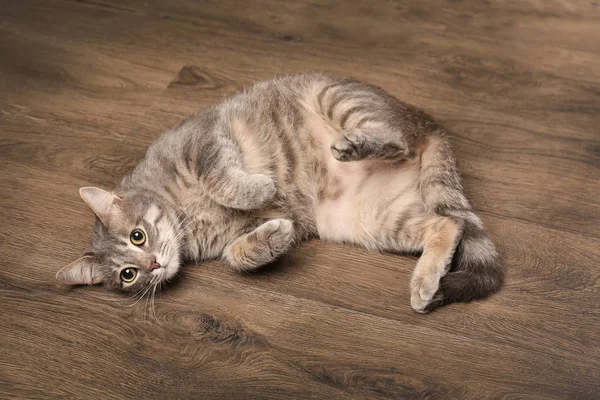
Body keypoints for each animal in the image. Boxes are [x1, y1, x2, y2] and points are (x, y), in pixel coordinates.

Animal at [58, 74, 504, 312]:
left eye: (138, 235)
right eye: (127, 276)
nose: (152, 265)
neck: (183, 217)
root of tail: (430, 125)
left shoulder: (202, 143)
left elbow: (221, 178)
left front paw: (258, 188)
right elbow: (237, 256)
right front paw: (273, 239)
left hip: (338, 99)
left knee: (398, 141)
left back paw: (354, 144)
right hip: (373, 222)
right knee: (447, 225)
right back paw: (425, 281)